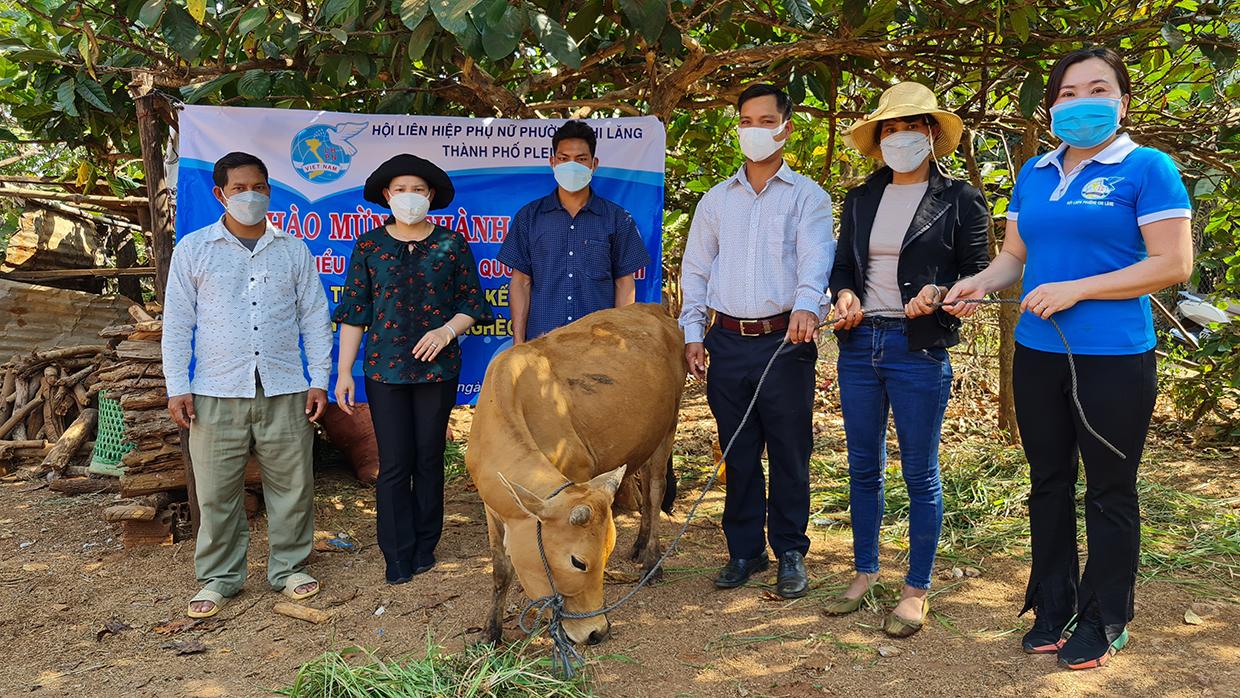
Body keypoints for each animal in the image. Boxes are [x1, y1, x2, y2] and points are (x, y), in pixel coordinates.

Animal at [466, 304, 689, 644]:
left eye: (605, 554)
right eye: (578, 562)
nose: (597, 632)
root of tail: (656, 309)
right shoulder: (493, 506)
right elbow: (501, 570)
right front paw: (491, 631)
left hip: (669, 425)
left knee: (654, 490)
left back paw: (652, 559)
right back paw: (639, 546)